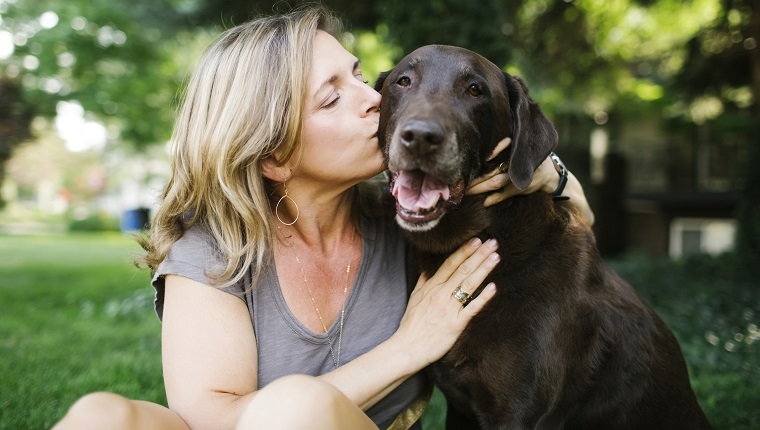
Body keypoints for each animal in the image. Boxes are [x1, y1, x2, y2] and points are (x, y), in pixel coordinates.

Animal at [374, 44, 712, 430]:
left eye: (475, 90)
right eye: (403, 81)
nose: (420, 137)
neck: (489, 234)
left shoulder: (518, 413)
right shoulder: (461, 408)